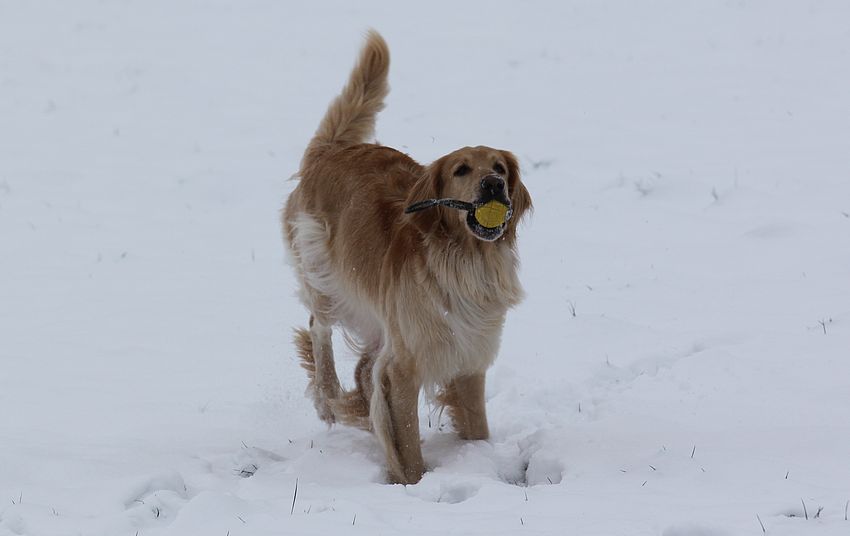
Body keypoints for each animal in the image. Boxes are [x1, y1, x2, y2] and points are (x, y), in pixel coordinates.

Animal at [282, 31, 531, 484]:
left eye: (500, 167)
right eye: (462, 169)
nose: (493, 183)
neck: (462, 260)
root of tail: (333, 150)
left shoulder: (470, 358)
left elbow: (477, 425)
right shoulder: (404, 364)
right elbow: (408, 442)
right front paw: (411, 482)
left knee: (362, 367)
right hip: (323, 272)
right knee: (318, 327)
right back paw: (328, 398)